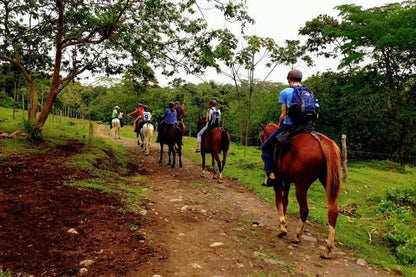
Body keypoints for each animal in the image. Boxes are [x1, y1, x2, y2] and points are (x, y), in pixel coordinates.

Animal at [260, 122, 342, 258]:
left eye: (262, 136)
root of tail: (321, 140)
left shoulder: (278, 181)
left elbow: (278, 201)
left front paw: (282, 227)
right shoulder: (287, 181)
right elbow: (285, 201)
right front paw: (284, 223)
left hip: (301, 186)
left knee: (304, 209)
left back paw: (297, 236)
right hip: (327, 182)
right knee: (333, 211)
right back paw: (327, 249)